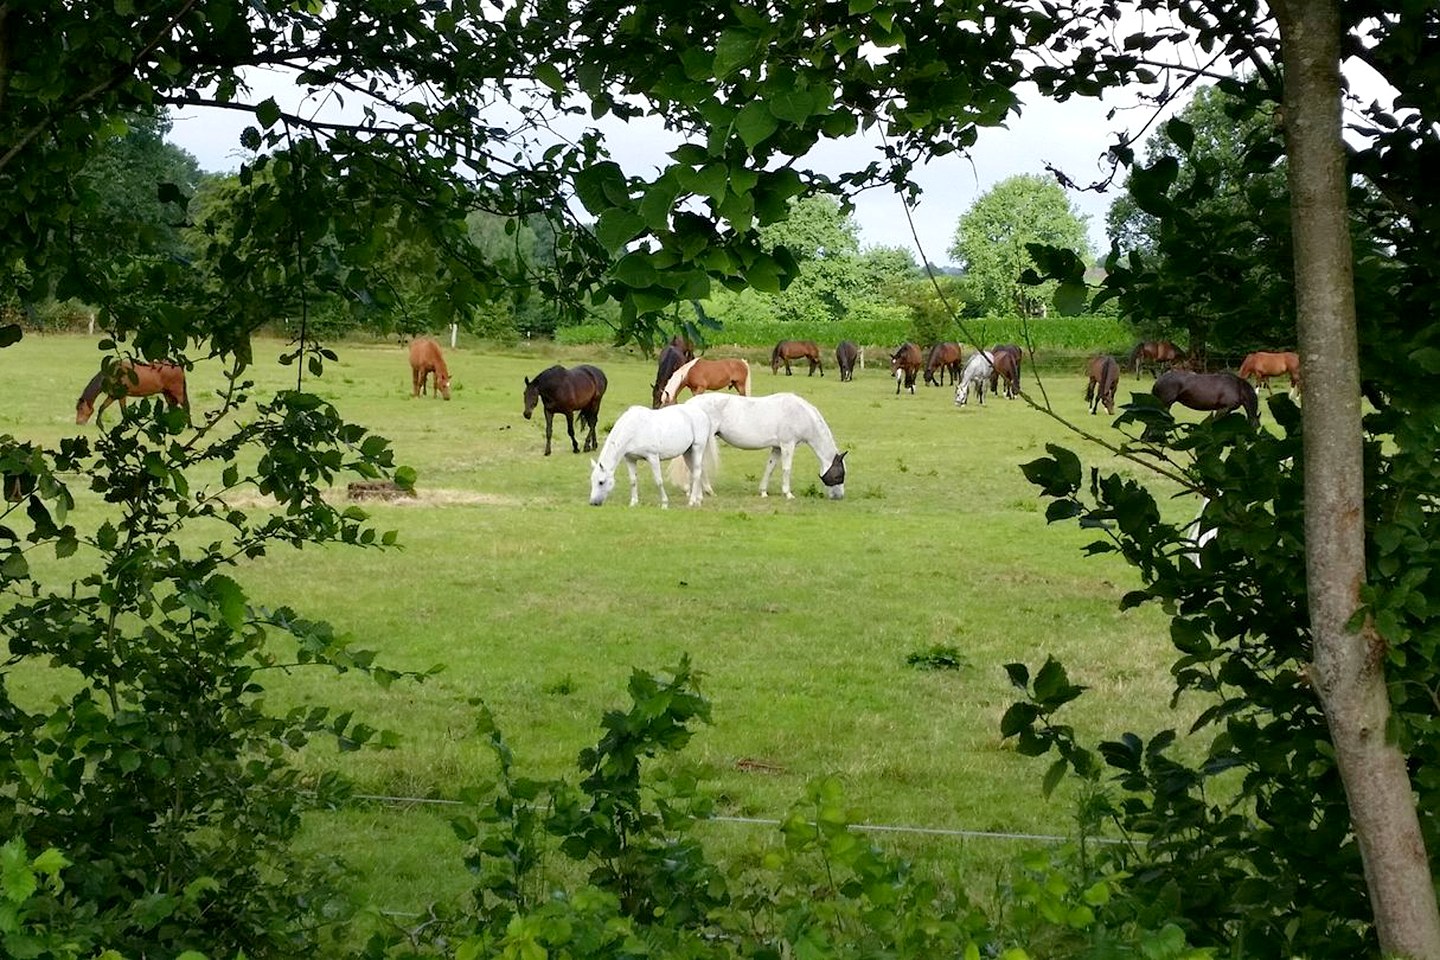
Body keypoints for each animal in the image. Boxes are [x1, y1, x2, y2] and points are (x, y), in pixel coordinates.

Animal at [675, 392, 848, 500]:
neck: (800, 414)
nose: (839, 496)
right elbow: (786, 469)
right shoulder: (787, 445)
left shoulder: (777, 448)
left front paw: (763, 492)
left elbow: (770, 468)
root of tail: (690, 404)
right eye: (839, 475)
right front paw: (788, 494)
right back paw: (697, 491)